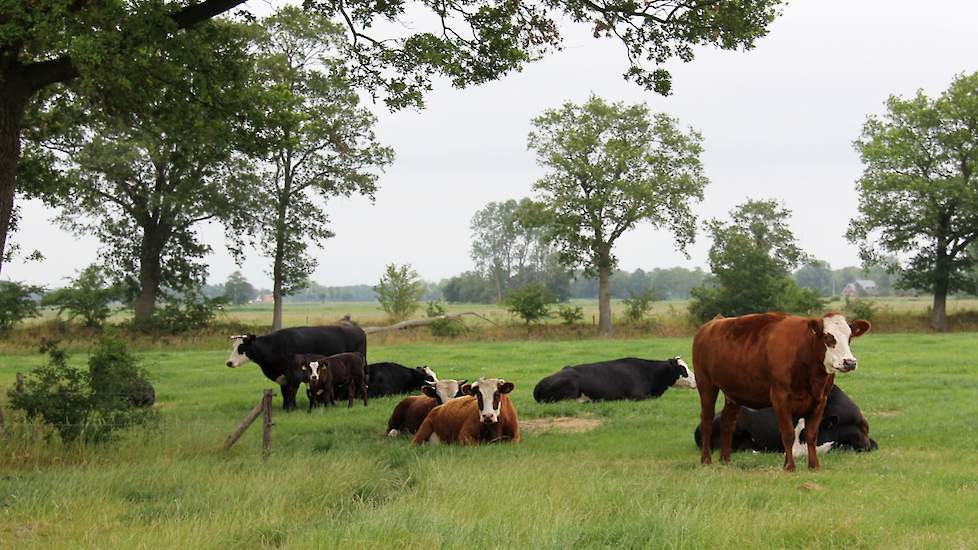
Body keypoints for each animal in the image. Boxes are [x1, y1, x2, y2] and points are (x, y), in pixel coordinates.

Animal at [692, 312, 868, 472]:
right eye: (827, 337)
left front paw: (814, 466)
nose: (850, 362)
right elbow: (788, 434)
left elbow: (812, 435)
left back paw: (725, 460)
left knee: (728, 423)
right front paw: (789, 466)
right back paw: (706, 460)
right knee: (706, 420)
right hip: (706, 384)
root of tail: (713, 323)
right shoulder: (780, 399)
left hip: (734, 393)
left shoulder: (820, 401)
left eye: (849, 337)